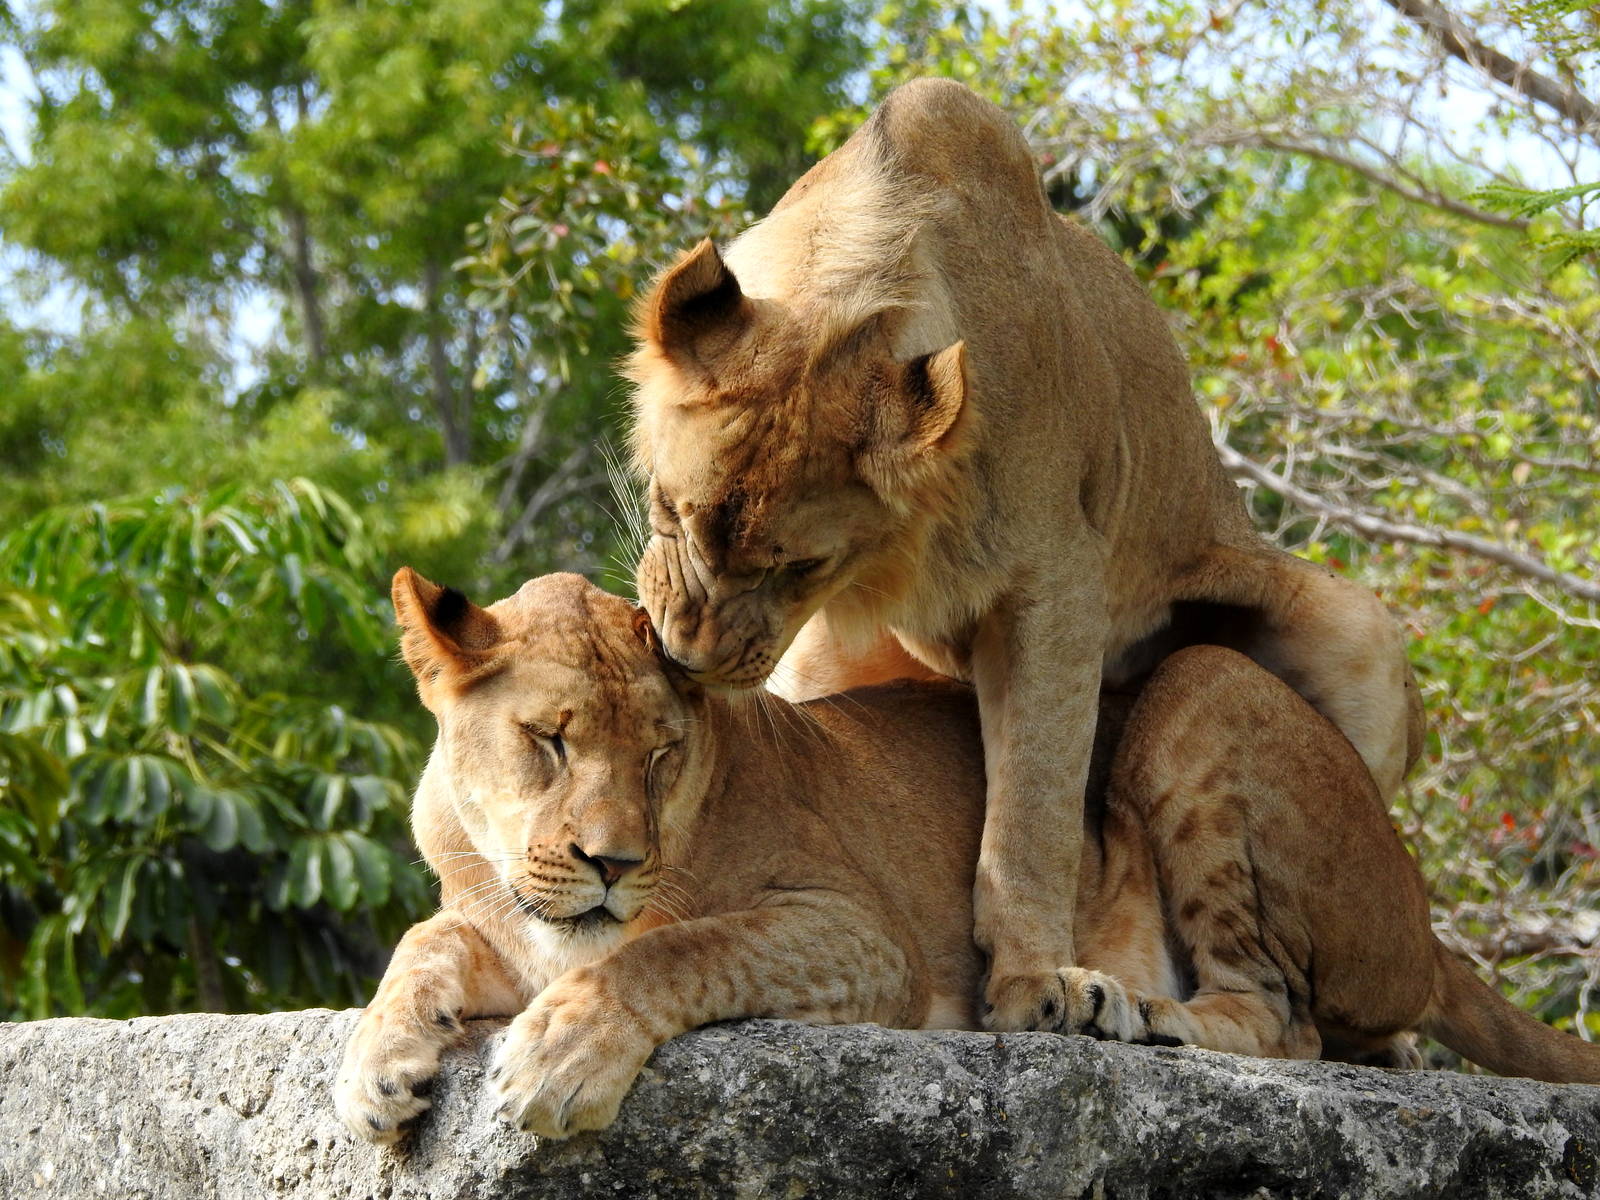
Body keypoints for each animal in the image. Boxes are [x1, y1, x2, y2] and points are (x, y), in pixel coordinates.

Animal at [333, 569, 1595, 1144]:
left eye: (661, 752)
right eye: (549, 741)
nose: (609, 862)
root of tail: (1422, 919)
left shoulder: (865, 939)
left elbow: (669, 951)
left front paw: (559, 1057)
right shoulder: (495, 921)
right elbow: (421, 941)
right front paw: (376, 1069)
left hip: (1201, 684)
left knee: (1280, 1017)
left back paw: (1119, 1011)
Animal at [625, 78, 1425, 1031]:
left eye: (801, 569)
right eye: (668, 508)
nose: (687, 660)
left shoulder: (1057, 584)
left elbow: (1032, 818)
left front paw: (1034, 982)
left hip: (1357, 629)